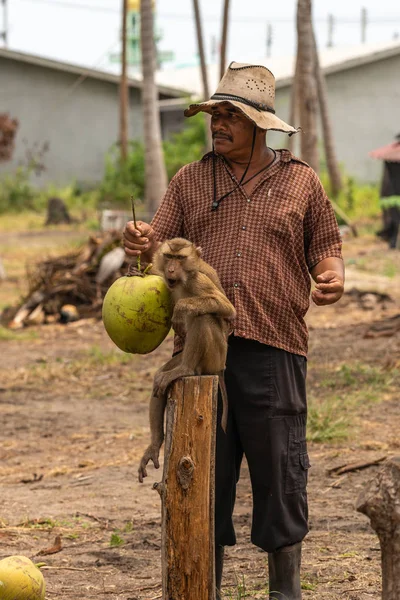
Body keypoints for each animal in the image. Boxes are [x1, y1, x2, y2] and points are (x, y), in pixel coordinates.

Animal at [138, 237, 236, 480]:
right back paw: (155, 444)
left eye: (180, 258)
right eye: (169, 257)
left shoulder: (198, 281)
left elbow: (226, 308)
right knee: (159, 380)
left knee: (203, 316)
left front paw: (181, 309)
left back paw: (186, 369)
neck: (181, 282)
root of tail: (220, 368)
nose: (172, 269)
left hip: (214, 354)